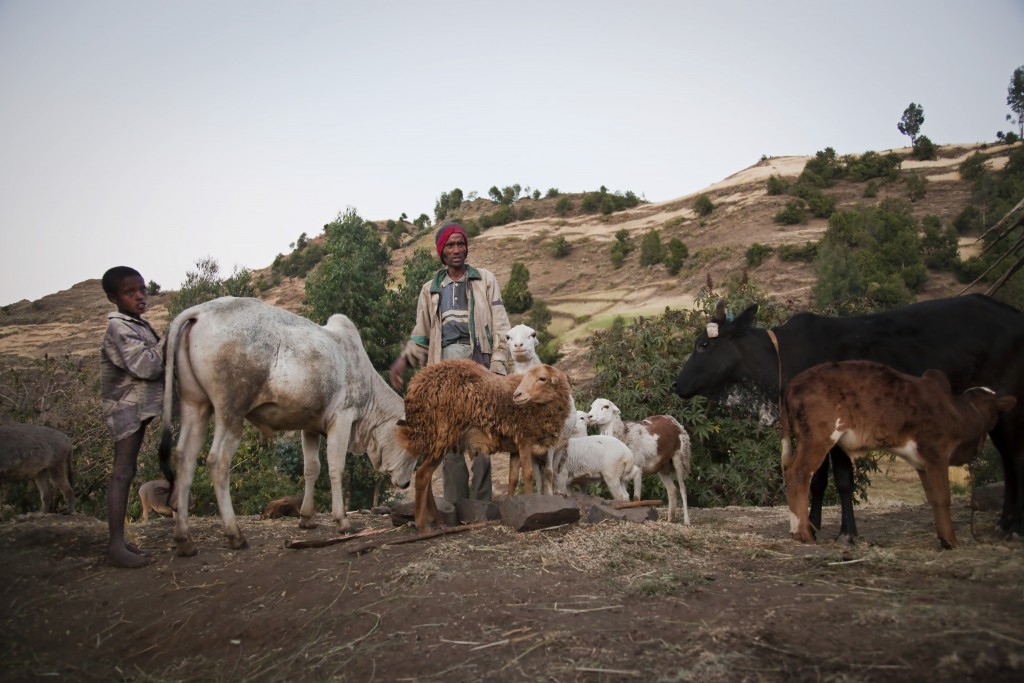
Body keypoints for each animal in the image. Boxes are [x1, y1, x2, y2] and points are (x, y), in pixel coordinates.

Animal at [157, 296, 413, 557]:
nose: (406, 484)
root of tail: (201, 311)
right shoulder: (342, 418)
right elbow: (335, 468)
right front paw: (342, 521)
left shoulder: (310, 427)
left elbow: (312, 468)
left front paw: (307, 518)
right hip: (231, 412)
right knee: (217, 461)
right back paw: (235, 534)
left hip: (195, 405)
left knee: (184, 458)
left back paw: (185, 539)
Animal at [397, 358, 577, 532]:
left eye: (542, 378)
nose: (517, 395)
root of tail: (415, 387)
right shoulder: (524, 440)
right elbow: (528, 474)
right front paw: (530, 504)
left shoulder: (515, 447)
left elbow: (512, 478)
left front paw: (511, 506)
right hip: (442, 436)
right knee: (422, 476)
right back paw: (422, 525)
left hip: (434, 440)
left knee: (426, 478)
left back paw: (438, 521)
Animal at [589, 397, 692, 528]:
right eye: (592, 406)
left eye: (606, 406)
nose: (589, 416)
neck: (623, 434)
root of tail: (674, 421)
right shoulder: (622, 474)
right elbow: (624, 498)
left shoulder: (638, 469)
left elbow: (636, 498)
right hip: (662, 466)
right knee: (672, 490)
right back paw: (670, 519)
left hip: (680, 457)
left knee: (683, 489)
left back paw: (687, 521)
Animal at [782, 362, 1015, 548]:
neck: (957, 412)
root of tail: (793, 384)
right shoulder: (936, 453)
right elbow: (943, 497)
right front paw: (951, 541)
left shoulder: (922, 463)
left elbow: (933, 497)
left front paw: (943, 538)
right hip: (819, 438)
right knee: (798, 474)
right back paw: (802, 533)